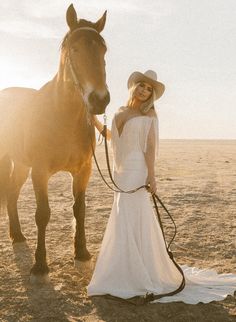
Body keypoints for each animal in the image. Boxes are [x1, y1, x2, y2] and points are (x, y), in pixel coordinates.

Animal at [0, 4, 109, 282]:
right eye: (75, 49)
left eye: (103, 50)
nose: (99, 99)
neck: (62, 117)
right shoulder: (40, 172)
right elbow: (43, 214)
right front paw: (40, 266)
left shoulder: (83, 171)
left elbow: (79, 209)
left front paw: (81, 253)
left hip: (21, 165)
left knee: (12, 193)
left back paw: (17, 235)